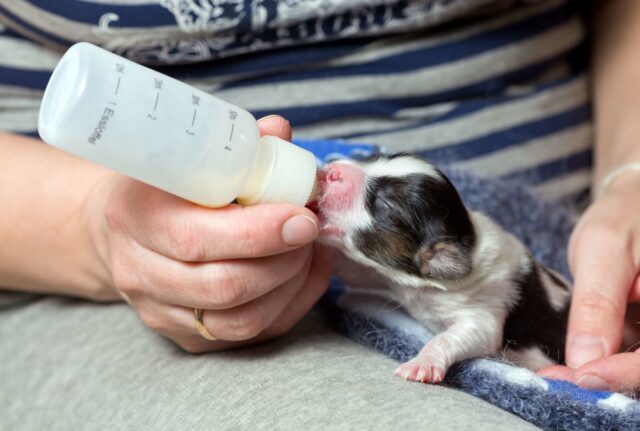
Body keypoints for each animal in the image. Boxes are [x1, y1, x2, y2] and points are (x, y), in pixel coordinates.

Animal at [316, 155, 568, 384]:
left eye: (386, 204)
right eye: (372, 158)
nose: (331, 170)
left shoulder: (484, 310)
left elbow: (456, 336)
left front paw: (422, 363)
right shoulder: (384, 274)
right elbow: (352, 272)